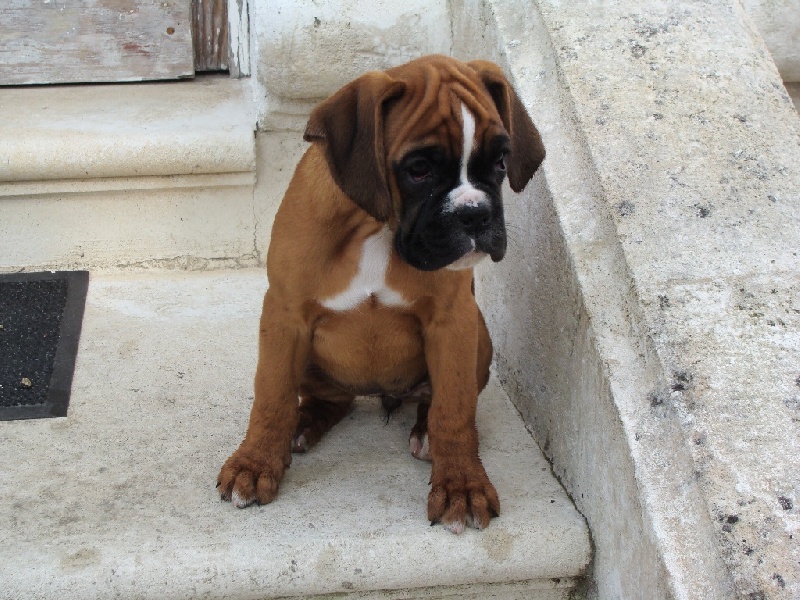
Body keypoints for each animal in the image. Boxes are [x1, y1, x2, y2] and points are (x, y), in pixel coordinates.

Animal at [217, 55, 545, 533]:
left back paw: (424, 432)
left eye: (501, 160)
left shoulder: (452, 321)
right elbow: (272, 395)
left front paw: (462, 484)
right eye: (419, 169)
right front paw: (255, 464)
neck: (375, 228)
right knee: (332, 398)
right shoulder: (284, 315)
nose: (475, 214)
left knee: (435, 400)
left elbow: (454, 409)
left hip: (478, 335)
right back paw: (304, 421)